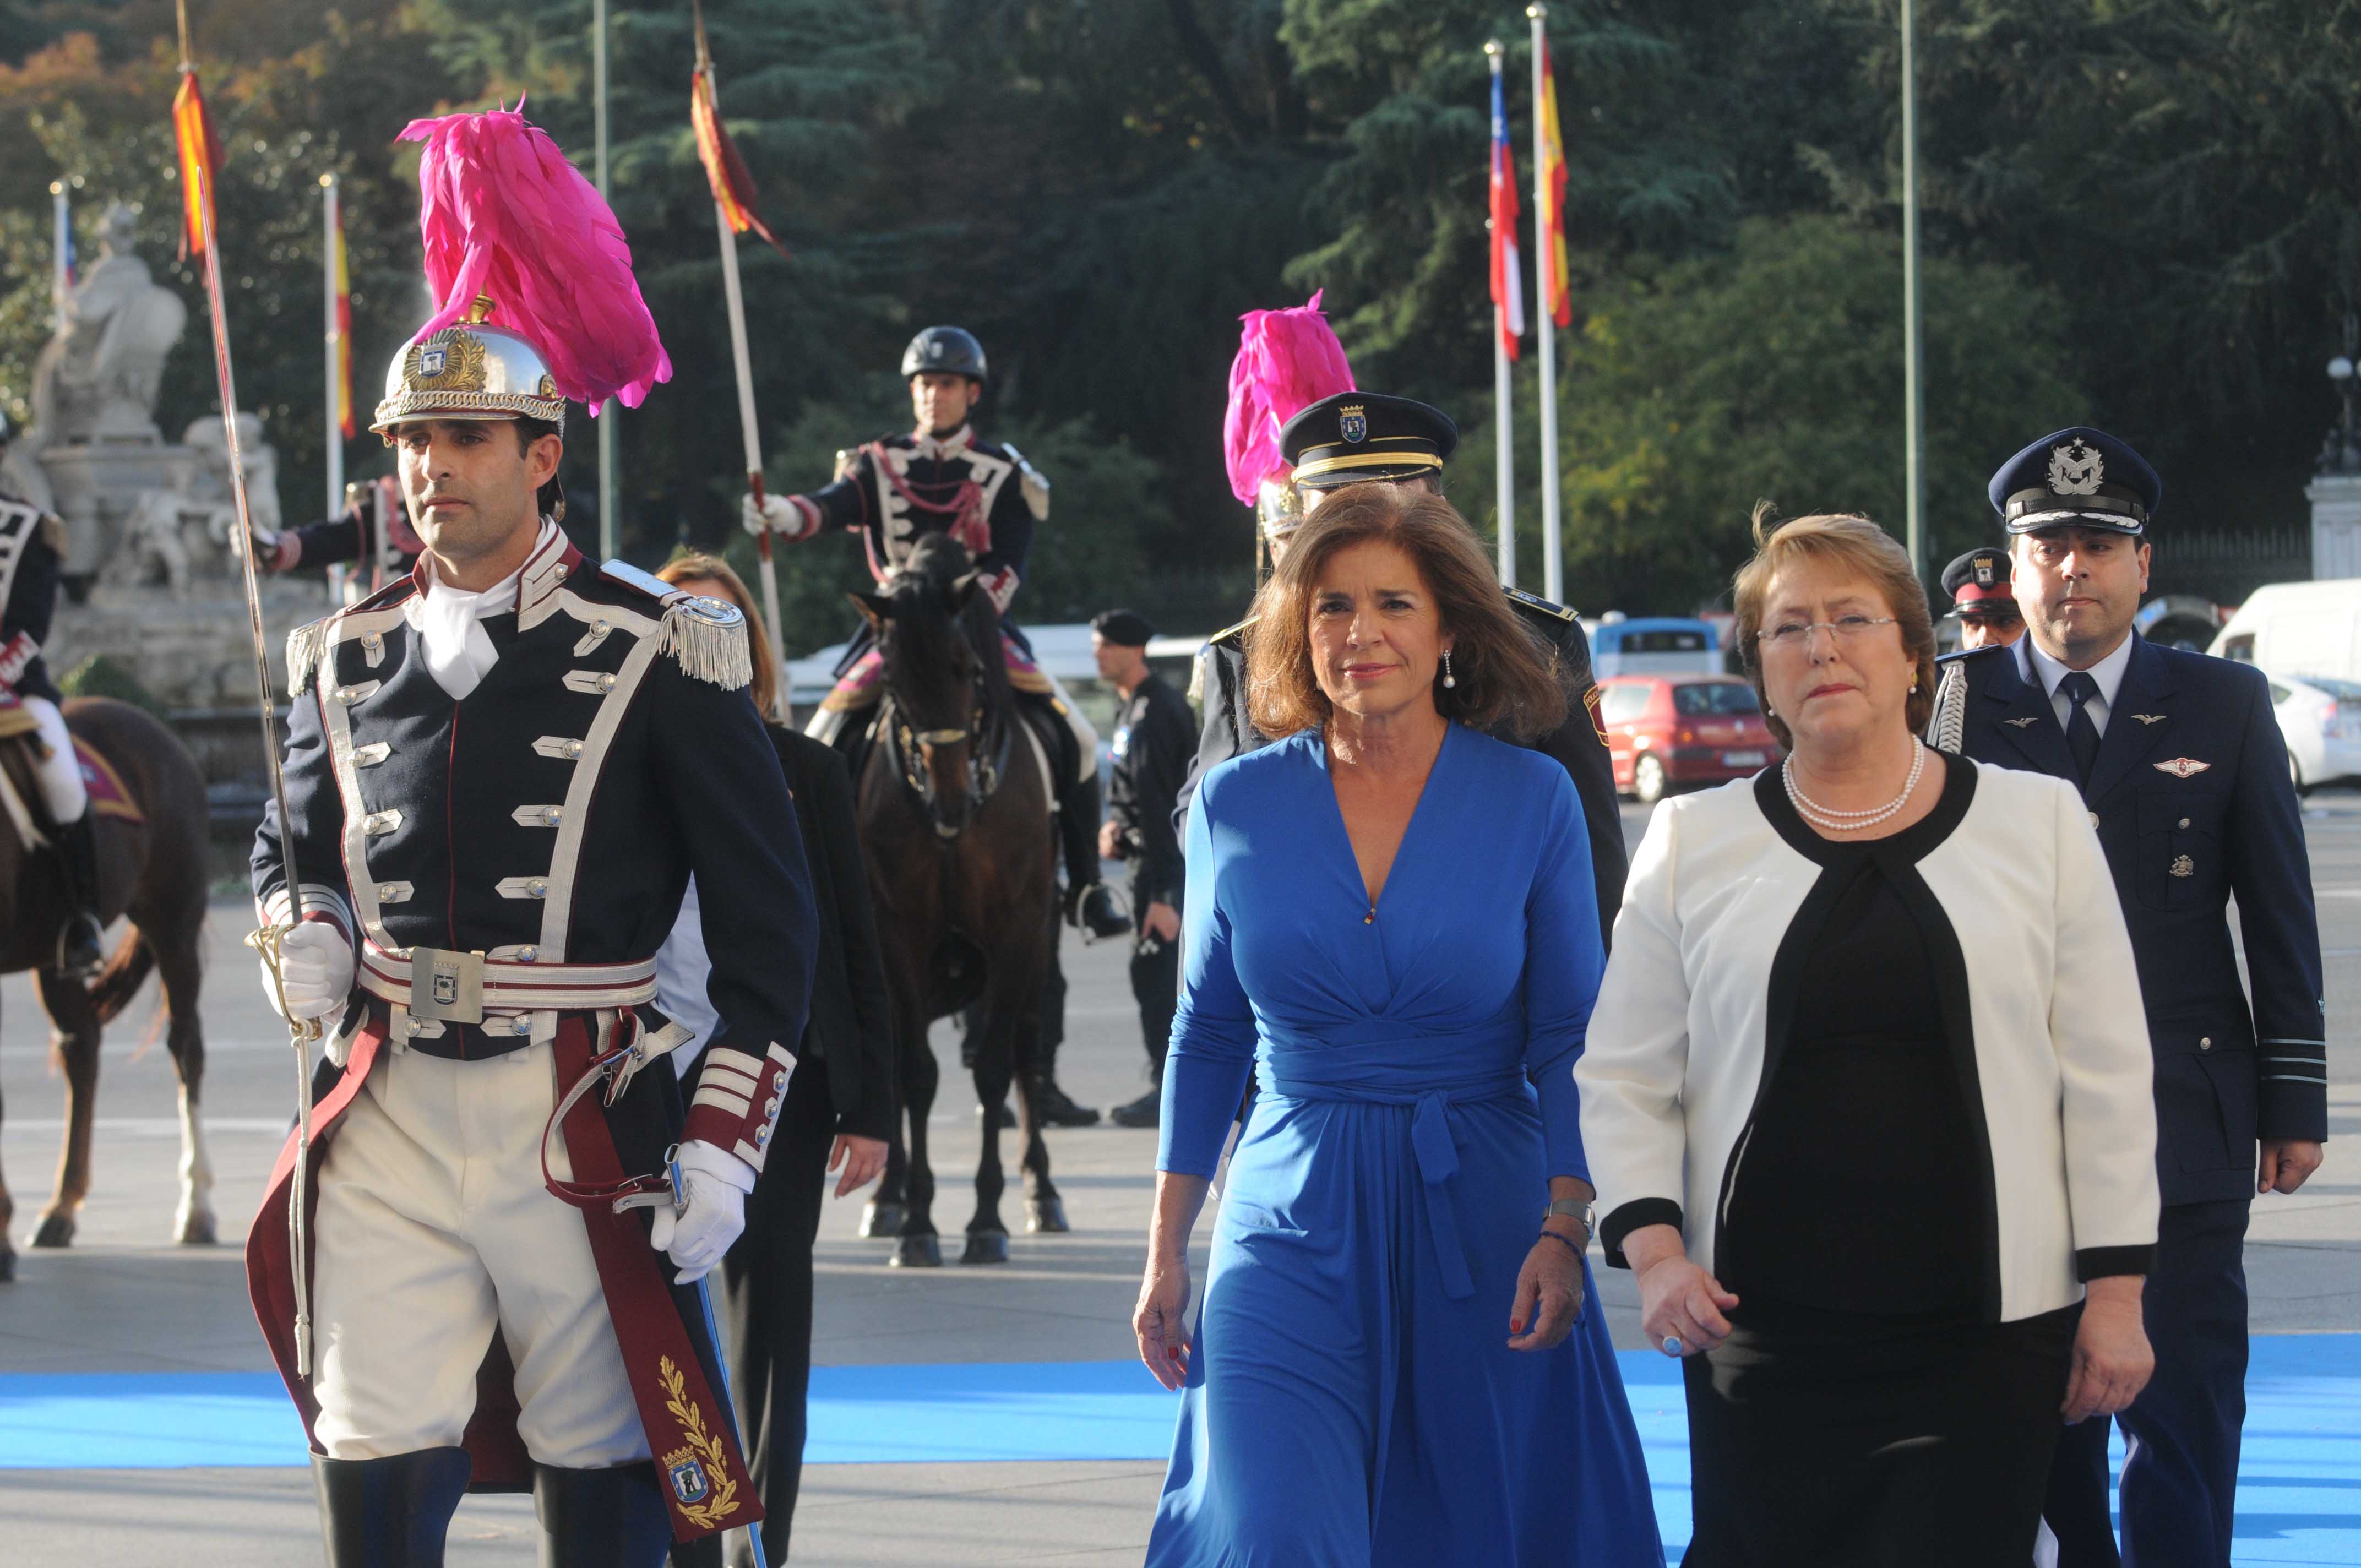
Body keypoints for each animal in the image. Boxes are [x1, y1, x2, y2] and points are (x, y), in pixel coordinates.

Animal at [0, 697, 213, 1280]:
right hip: (56, 956)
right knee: (82, 1050)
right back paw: (61, 1207)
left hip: (173, 918)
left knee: (185, 1048)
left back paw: (196, 1206)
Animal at [848, 535, 1066, 1268]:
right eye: (891, 680)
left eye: (966, 666)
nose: (949, 803)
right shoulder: (895, 933)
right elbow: (914, 1071)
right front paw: (916, 1219)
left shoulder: (1017, 930)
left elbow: (997, 1067)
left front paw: (986, 1218)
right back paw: (884, 1200)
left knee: (1028, 1048)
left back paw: (1042, 1191)